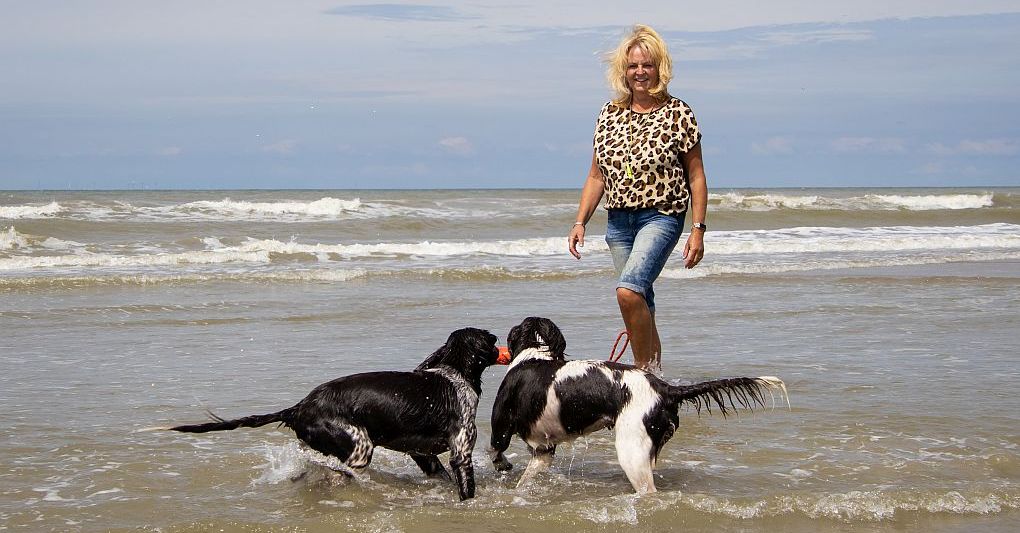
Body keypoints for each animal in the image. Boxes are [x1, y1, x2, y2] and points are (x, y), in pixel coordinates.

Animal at [153, 328, 499, 503]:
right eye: (492, 339)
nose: (501, 346)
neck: (454, 373)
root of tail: (298, 407)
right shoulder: (461, 451)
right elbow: (465, 486)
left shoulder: (421, 452)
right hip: (359, 448)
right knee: (338, 470)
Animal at [485, 317, 787, 497]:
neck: (535, 354)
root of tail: (665, 388)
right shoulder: (544, 450)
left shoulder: (502, 425)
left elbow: (496, 449)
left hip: (631, 450)